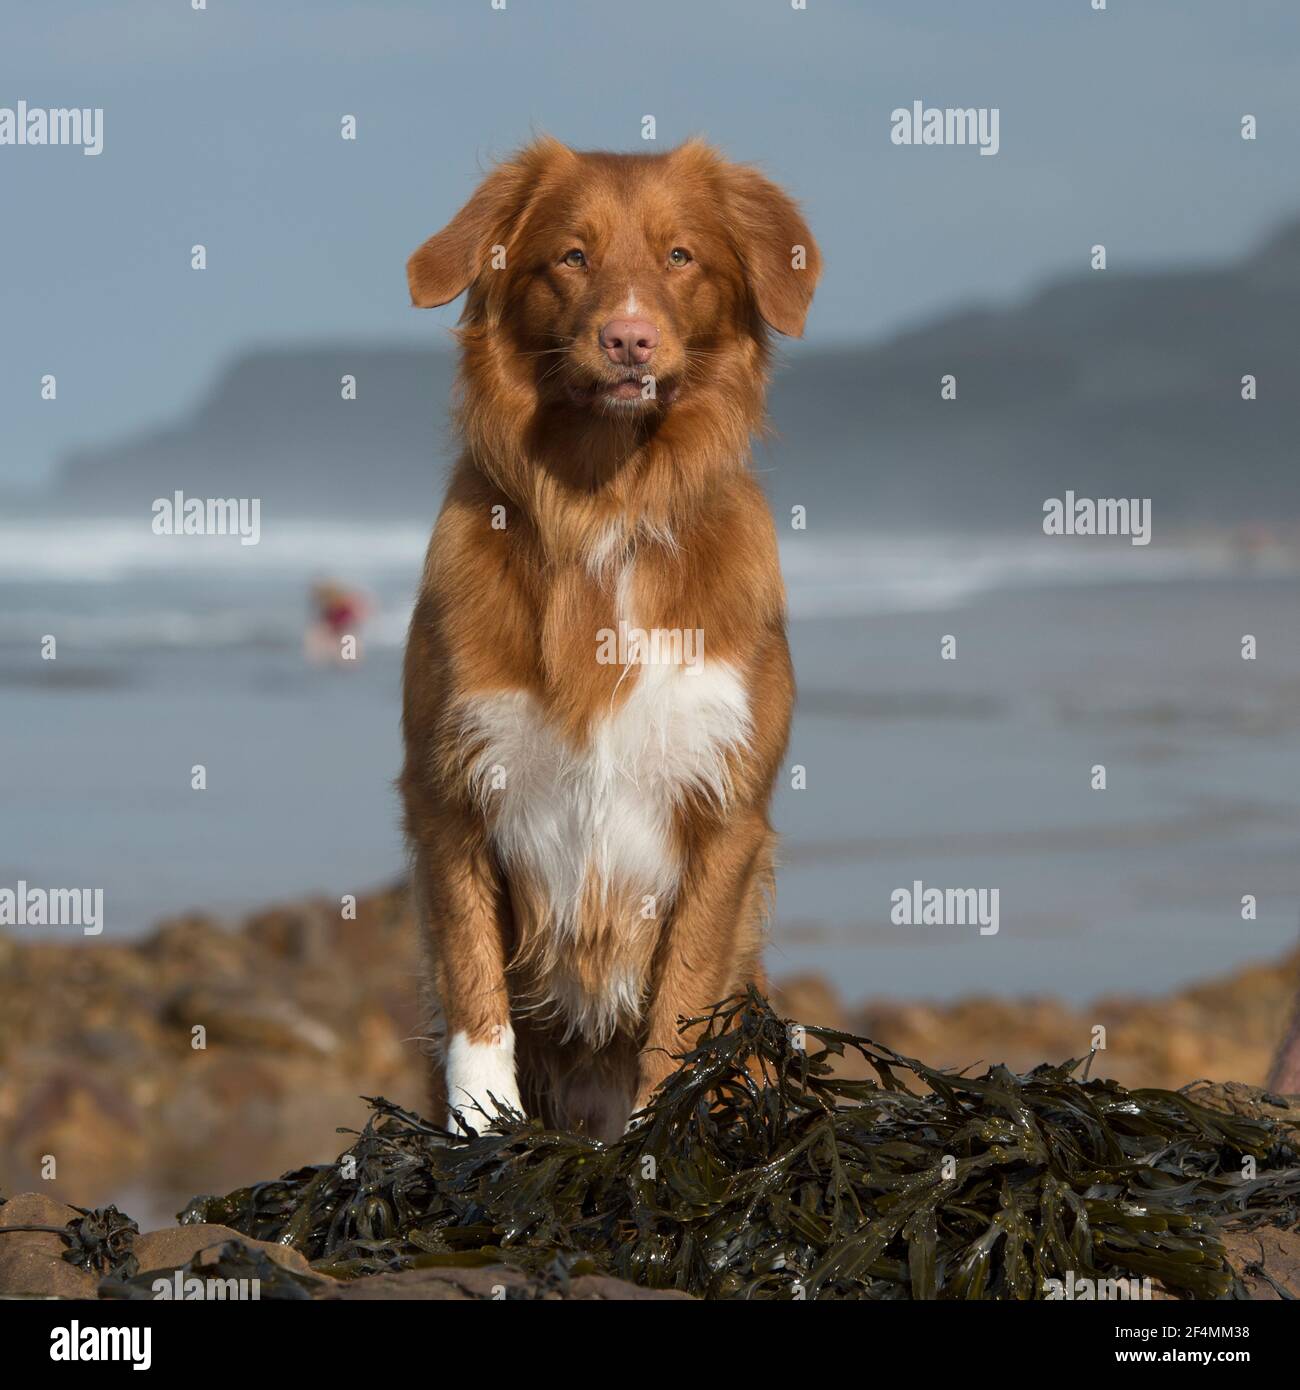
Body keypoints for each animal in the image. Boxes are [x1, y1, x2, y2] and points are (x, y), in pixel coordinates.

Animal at [400, 138, 817, 1139]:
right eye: (572, 257)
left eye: (681, 256)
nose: (629, 338)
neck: (606, 505)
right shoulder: (447, 789)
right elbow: (473, 987)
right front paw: (483, 1129)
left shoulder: (726, 811)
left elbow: (683, 1006)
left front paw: (665, 1135)